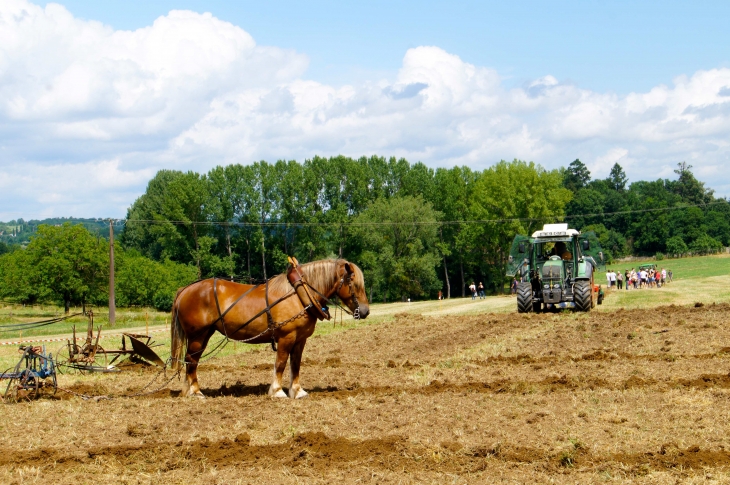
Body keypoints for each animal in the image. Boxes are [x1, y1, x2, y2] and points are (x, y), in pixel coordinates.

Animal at [171, 260, 370, 398]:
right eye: (353, 283)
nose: (365, 311)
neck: (298, 295)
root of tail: (185, 289)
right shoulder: (286, 337)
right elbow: (280, 363)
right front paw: (277, 391)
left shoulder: (300, 339)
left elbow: (295, 364)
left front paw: (297, 391)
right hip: (198, 336)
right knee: (191, 361)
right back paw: (195, 392)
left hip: (204, 335)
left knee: (192, 361)